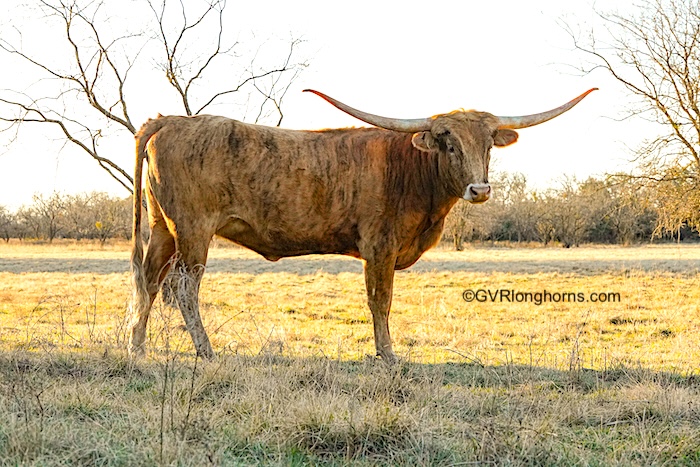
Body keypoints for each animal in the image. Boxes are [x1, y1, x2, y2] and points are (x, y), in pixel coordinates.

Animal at [130, 89, 596, 364]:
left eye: (488, 145)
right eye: (447, 141)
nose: (479, 189)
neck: (410, 170)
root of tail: (170, 120)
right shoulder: (380, 247)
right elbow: (380, 301)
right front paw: (387, 355)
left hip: (163, 228)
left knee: (148, 280)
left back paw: (136, 347)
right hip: (193, 230)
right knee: (183, 286)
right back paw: (207, 351)